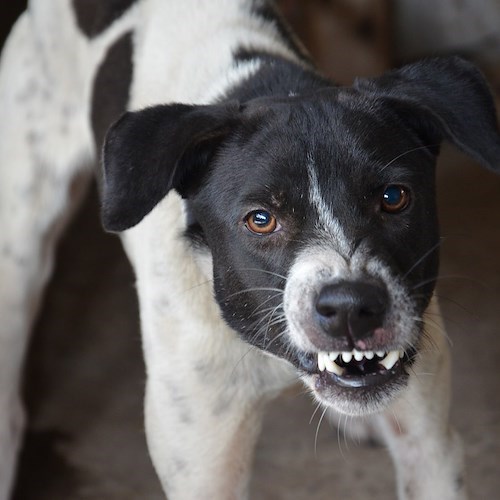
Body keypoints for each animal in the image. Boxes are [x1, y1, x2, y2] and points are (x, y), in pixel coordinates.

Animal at [0, 0, 500, 500]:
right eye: (260, 219)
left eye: (394, 197)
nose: (351, 308)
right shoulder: (205, 470)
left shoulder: (430, 449)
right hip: (20, 243)